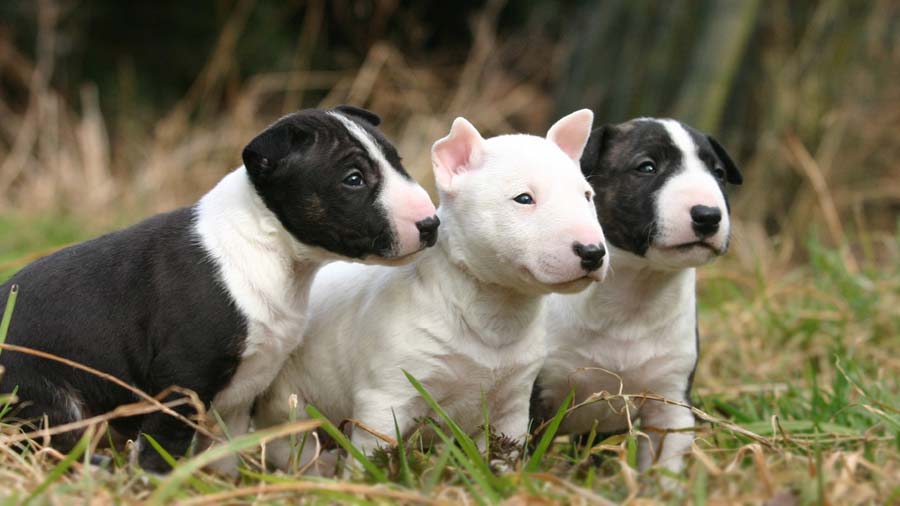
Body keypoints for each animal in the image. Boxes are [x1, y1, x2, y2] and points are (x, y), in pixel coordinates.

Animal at [0, 105, 438, 474]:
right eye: (353, 179)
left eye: (397, 162)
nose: (431, 224)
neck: (268, 245)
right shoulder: (182, 378)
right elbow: (164, 444)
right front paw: (154, 485)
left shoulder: (242, 394)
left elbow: (224, 451)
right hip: (44, 396)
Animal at [250, 109, 608, 470]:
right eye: (523, 198)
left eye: (587, 196)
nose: (593, 252)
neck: (493, 311)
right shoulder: (385, 399)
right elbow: (370, 453)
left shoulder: (512, 405)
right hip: (287, 408)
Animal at [532, 117, 740, 474]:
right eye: (647, 167)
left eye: (719, 173)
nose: (708, 215)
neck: (636, 291)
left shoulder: (670, 401)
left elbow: (664, 468)